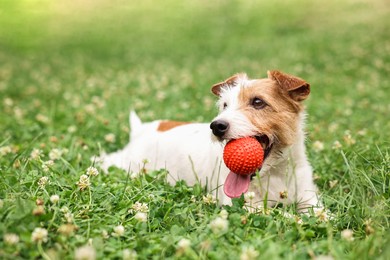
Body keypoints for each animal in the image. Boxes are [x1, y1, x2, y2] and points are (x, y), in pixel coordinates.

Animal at [99, 70, 322, 211]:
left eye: (258, 102)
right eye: (225, 105)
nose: (216, 126)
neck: (275, 173)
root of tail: (142, 129)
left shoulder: (310, 198)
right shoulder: (242, 205)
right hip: (128, 164)